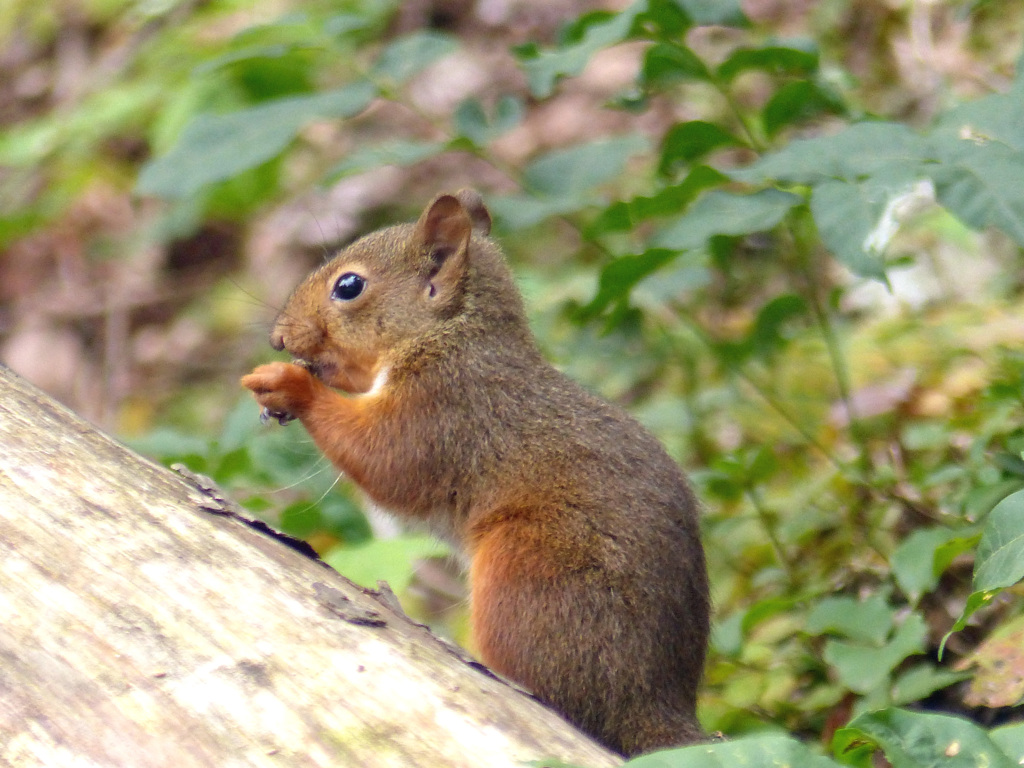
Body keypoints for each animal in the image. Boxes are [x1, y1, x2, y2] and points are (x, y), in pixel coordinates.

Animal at [238, 191, 708, 757]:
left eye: (348, 286)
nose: (278, 338)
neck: (451, 333)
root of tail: (652, 707)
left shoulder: (446, 407)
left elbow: (386, 459)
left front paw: (289, 385)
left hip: (530, 571)